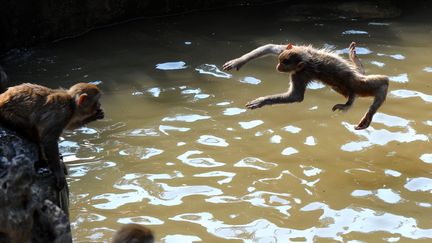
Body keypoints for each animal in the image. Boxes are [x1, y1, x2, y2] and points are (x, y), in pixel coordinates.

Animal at [224, 41, 390, 130]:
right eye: (280, 60)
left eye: (284, 64)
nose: (277, 67)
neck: (305, 58)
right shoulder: (290, 51)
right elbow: (270, 47)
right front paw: (239, 61)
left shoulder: (299, 74)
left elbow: (296, 96)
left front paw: (261, 101)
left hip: (354, 83)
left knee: (381, 83)